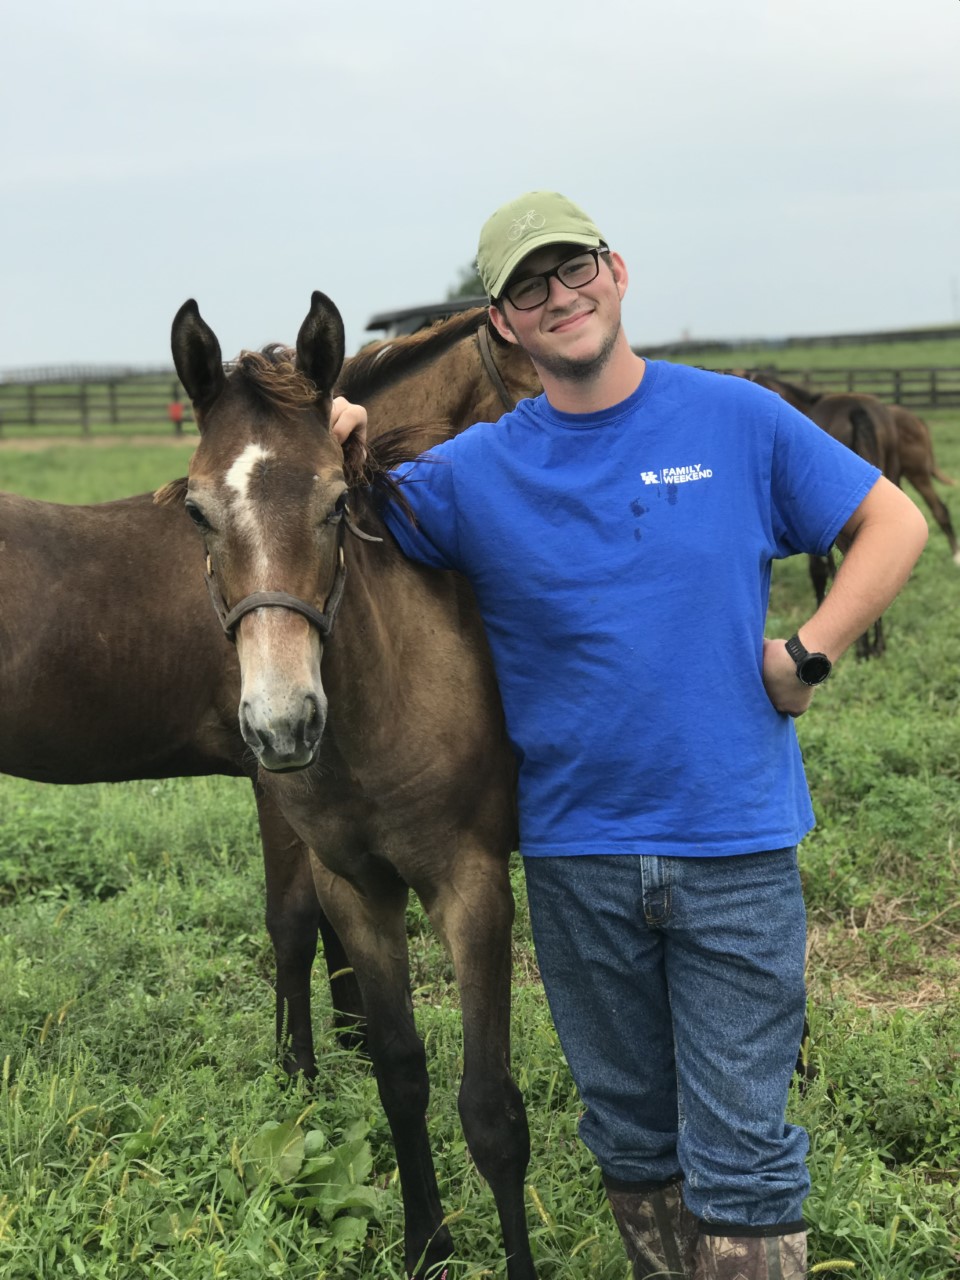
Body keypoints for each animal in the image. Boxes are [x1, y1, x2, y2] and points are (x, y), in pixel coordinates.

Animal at [167, 294, 537, 1280]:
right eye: (198, 512)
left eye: (338, 502)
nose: (281, 725)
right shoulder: (356, 888)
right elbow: (400, 1073)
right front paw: (426, 1243)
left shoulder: (472, 889)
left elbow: (490, 1111)